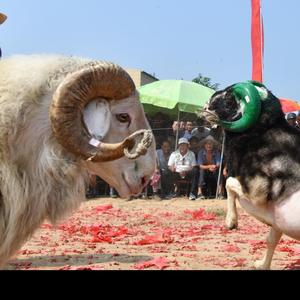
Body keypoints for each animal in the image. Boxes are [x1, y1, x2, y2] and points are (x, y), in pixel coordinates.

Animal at [203, 80, 300, 270]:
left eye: (229, 101)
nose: (206, 104)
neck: (260, 135)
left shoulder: (257, 192)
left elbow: (229, 183)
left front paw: (231, 222)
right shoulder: (278, 221)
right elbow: (271, 240)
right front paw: (261, 265)